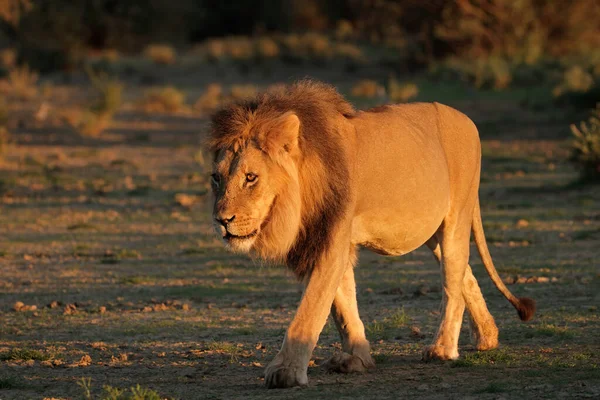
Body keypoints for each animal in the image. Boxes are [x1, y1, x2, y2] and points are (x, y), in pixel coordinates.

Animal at [209, 79, 536, 390]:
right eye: (216, 177)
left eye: (251, 177)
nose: (222, 220)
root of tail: (467, 120)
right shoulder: (329, 238)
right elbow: (342, 305)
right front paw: (357, 357)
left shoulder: (333, 237)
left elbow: (311, 308)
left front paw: (285, 372)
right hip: (432, 231)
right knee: (463, 274)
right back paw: (487, 336)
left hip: (457, 216)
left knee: (451, 283)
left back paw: (442, 349)